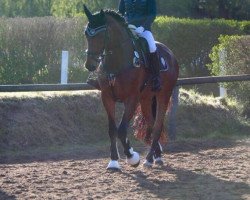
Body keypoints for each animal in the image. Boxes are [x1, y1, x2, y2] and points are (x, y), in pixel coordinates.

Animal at [84, 5, 180, 170]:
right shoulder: (107, 97)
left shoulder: (132, 99)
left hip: (163, 95)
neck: (118, 61)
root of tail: (170, 53)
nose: (90, 65)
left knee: (157, 126)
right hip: (146, 99)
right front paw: (114, 162)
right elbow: (112, 129)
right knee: (151, 124)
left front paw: (132, 157)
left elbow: (122, 130)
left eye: (101, 35)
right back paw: (156, 156)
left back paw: (149, 159)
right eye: (86, 34)